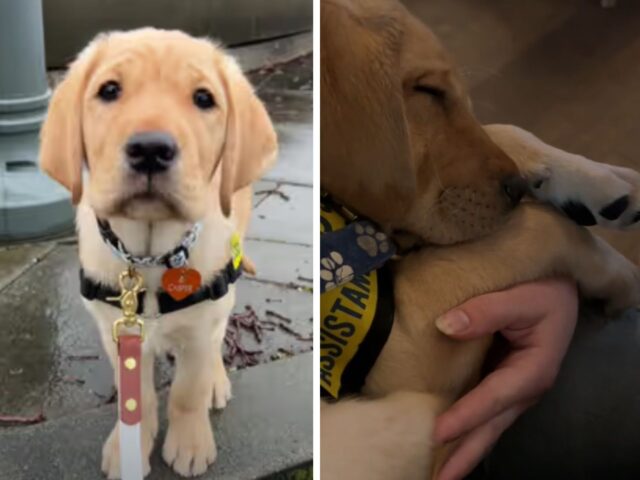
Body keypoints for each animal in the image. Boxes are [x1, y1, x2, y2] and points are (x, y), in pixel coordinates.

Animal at [38, 29, 276, 476]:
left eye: (203, 98)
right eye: (109, 90)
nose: (150, 148)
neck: (147, 257)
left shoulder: (202, 321)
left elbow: (188, 388)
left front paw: (190, 442)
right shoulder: (116, 328)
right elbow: (139, 394)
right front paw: (129, 445)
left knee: (217, 335)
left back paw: (217, 379)